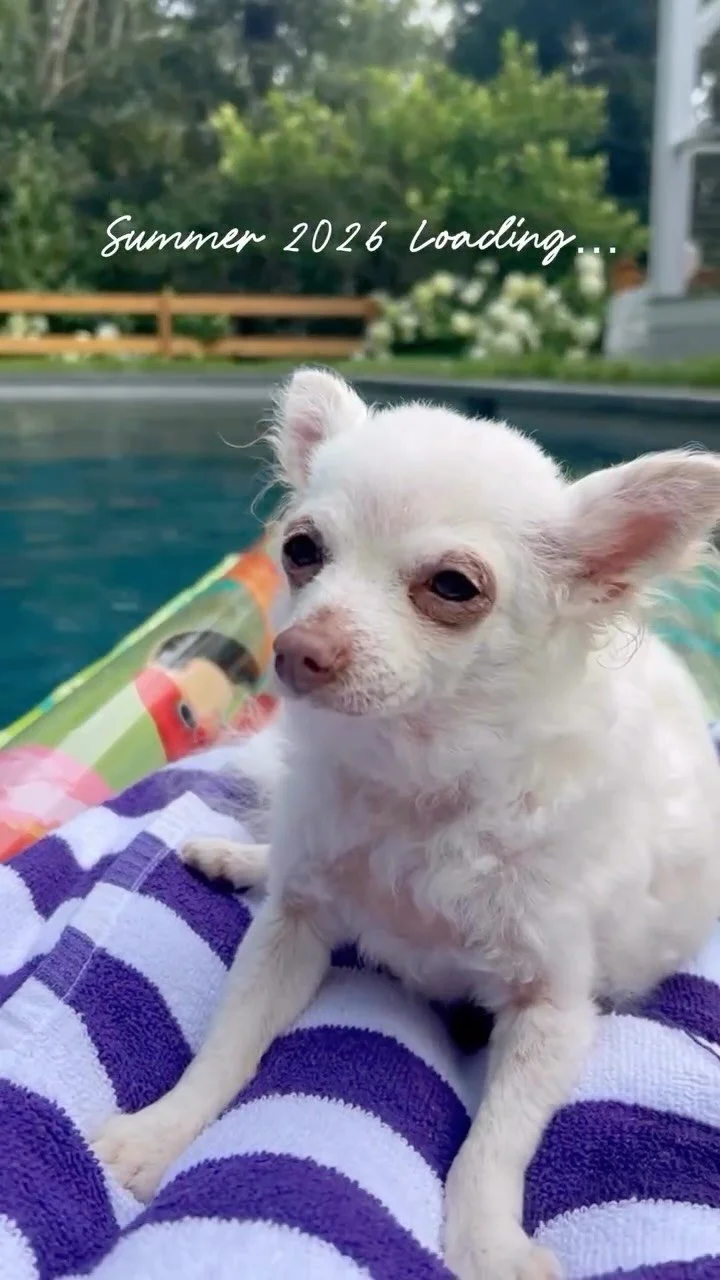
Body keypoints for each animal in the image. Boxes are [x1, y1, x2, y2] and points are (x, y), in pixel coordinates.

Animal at [94, 368, 720, 1279]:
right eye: (301, 550)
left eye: (453, 587)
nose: (297, 649)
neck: (415, 776)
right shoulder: (291, 928)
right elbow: (228, 1042)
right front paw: (159, 1134)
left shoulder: (552, 1010)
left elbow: (495, 1144)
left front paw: (488, 1244)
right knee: (277, 864)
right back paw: (234, 857)